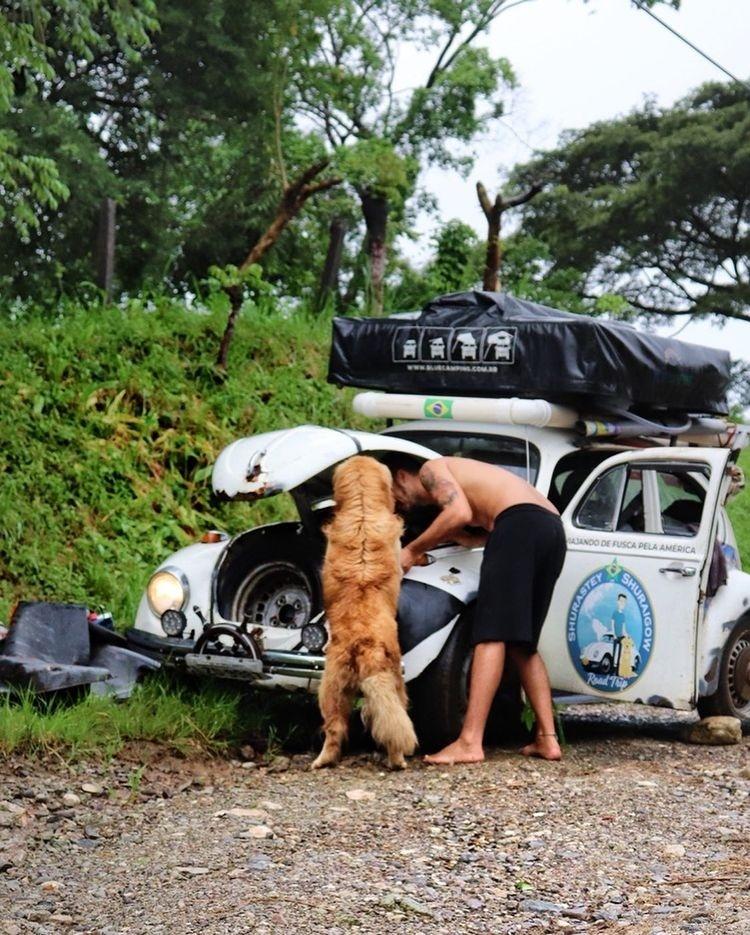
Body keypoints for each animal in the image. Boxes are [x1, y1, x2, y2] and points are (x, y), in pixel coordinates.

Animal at [310, 458, 418, 772]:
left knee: (335, 729)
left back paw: (322, 760)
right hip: (396, 685)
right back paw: (398, 760)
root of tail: (364, 647)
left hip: (331, 688)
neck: (361, 513)